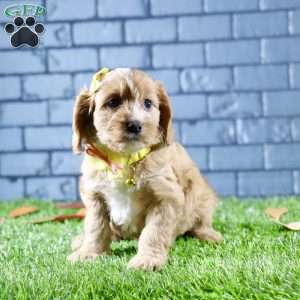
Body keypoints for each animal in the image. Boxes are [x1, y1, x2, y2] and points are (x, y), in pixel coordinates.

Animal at [68, 68, 223, 272]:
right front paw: (89, 253)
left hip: (202, 196)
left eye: (148, 103)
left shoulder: (166, 196)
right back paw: (81, 240)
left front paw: (148, 260)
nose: (135, 124)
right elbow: (96, 226)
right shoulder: (95, 195)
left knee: (200, 222)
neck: (123, 159)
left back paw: (209, 235)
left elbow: (153, 232)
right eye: (113, 102)